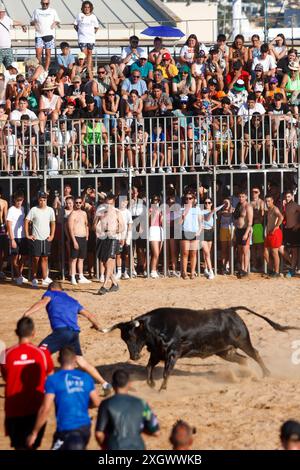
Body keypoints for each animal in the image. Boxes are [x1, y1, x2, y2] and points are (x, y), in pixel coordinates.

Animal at [101, 304, 300, 390]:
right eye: (124, 339)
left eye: (133, 336)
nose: (133, 356)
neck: (157, 327)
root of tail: (230, 311)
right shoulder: (157, 353)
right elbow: (148, 367)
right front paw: (151, 384)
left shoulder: (173, 353)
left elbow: (166, 372)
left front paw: (162, 388)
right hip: (225, 351)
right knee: (243, 360)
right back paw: (244, 376)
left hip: (242, 341)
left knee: (255, 354)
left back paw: (266, 373)